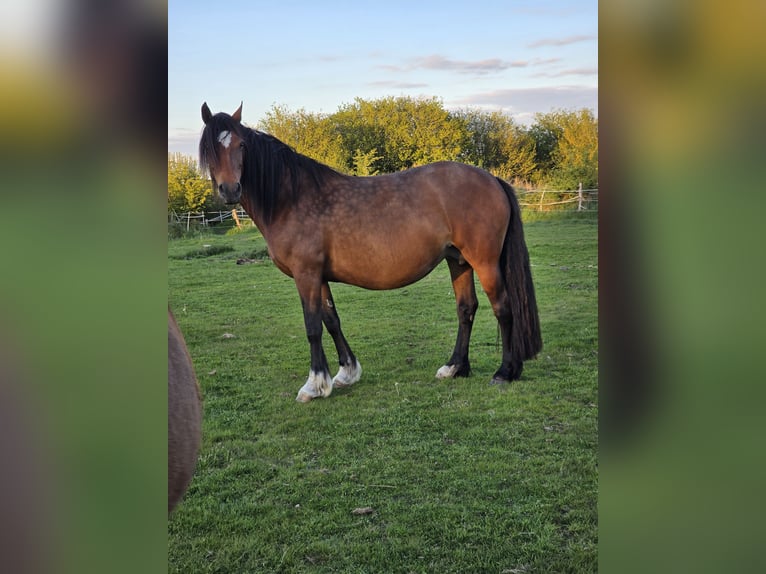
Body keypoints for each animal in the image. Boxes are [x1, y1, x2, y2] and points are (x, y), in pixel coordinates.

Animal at [199, 102, 542, 402]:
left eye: (241, 145)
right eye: (210, 150)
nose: (230, 190)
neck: (291, 199)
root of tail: (492, 179)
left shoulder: (305, 274)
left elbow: (312, 326)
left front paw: (313, 385)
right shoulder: (319, 276)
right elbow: (331, 320)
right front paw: (345, 373)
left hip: (485, 262)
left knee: (503, 308)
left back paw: (505, 372)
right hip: (458, 261)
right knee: (466, 309)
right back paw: (455, 367)